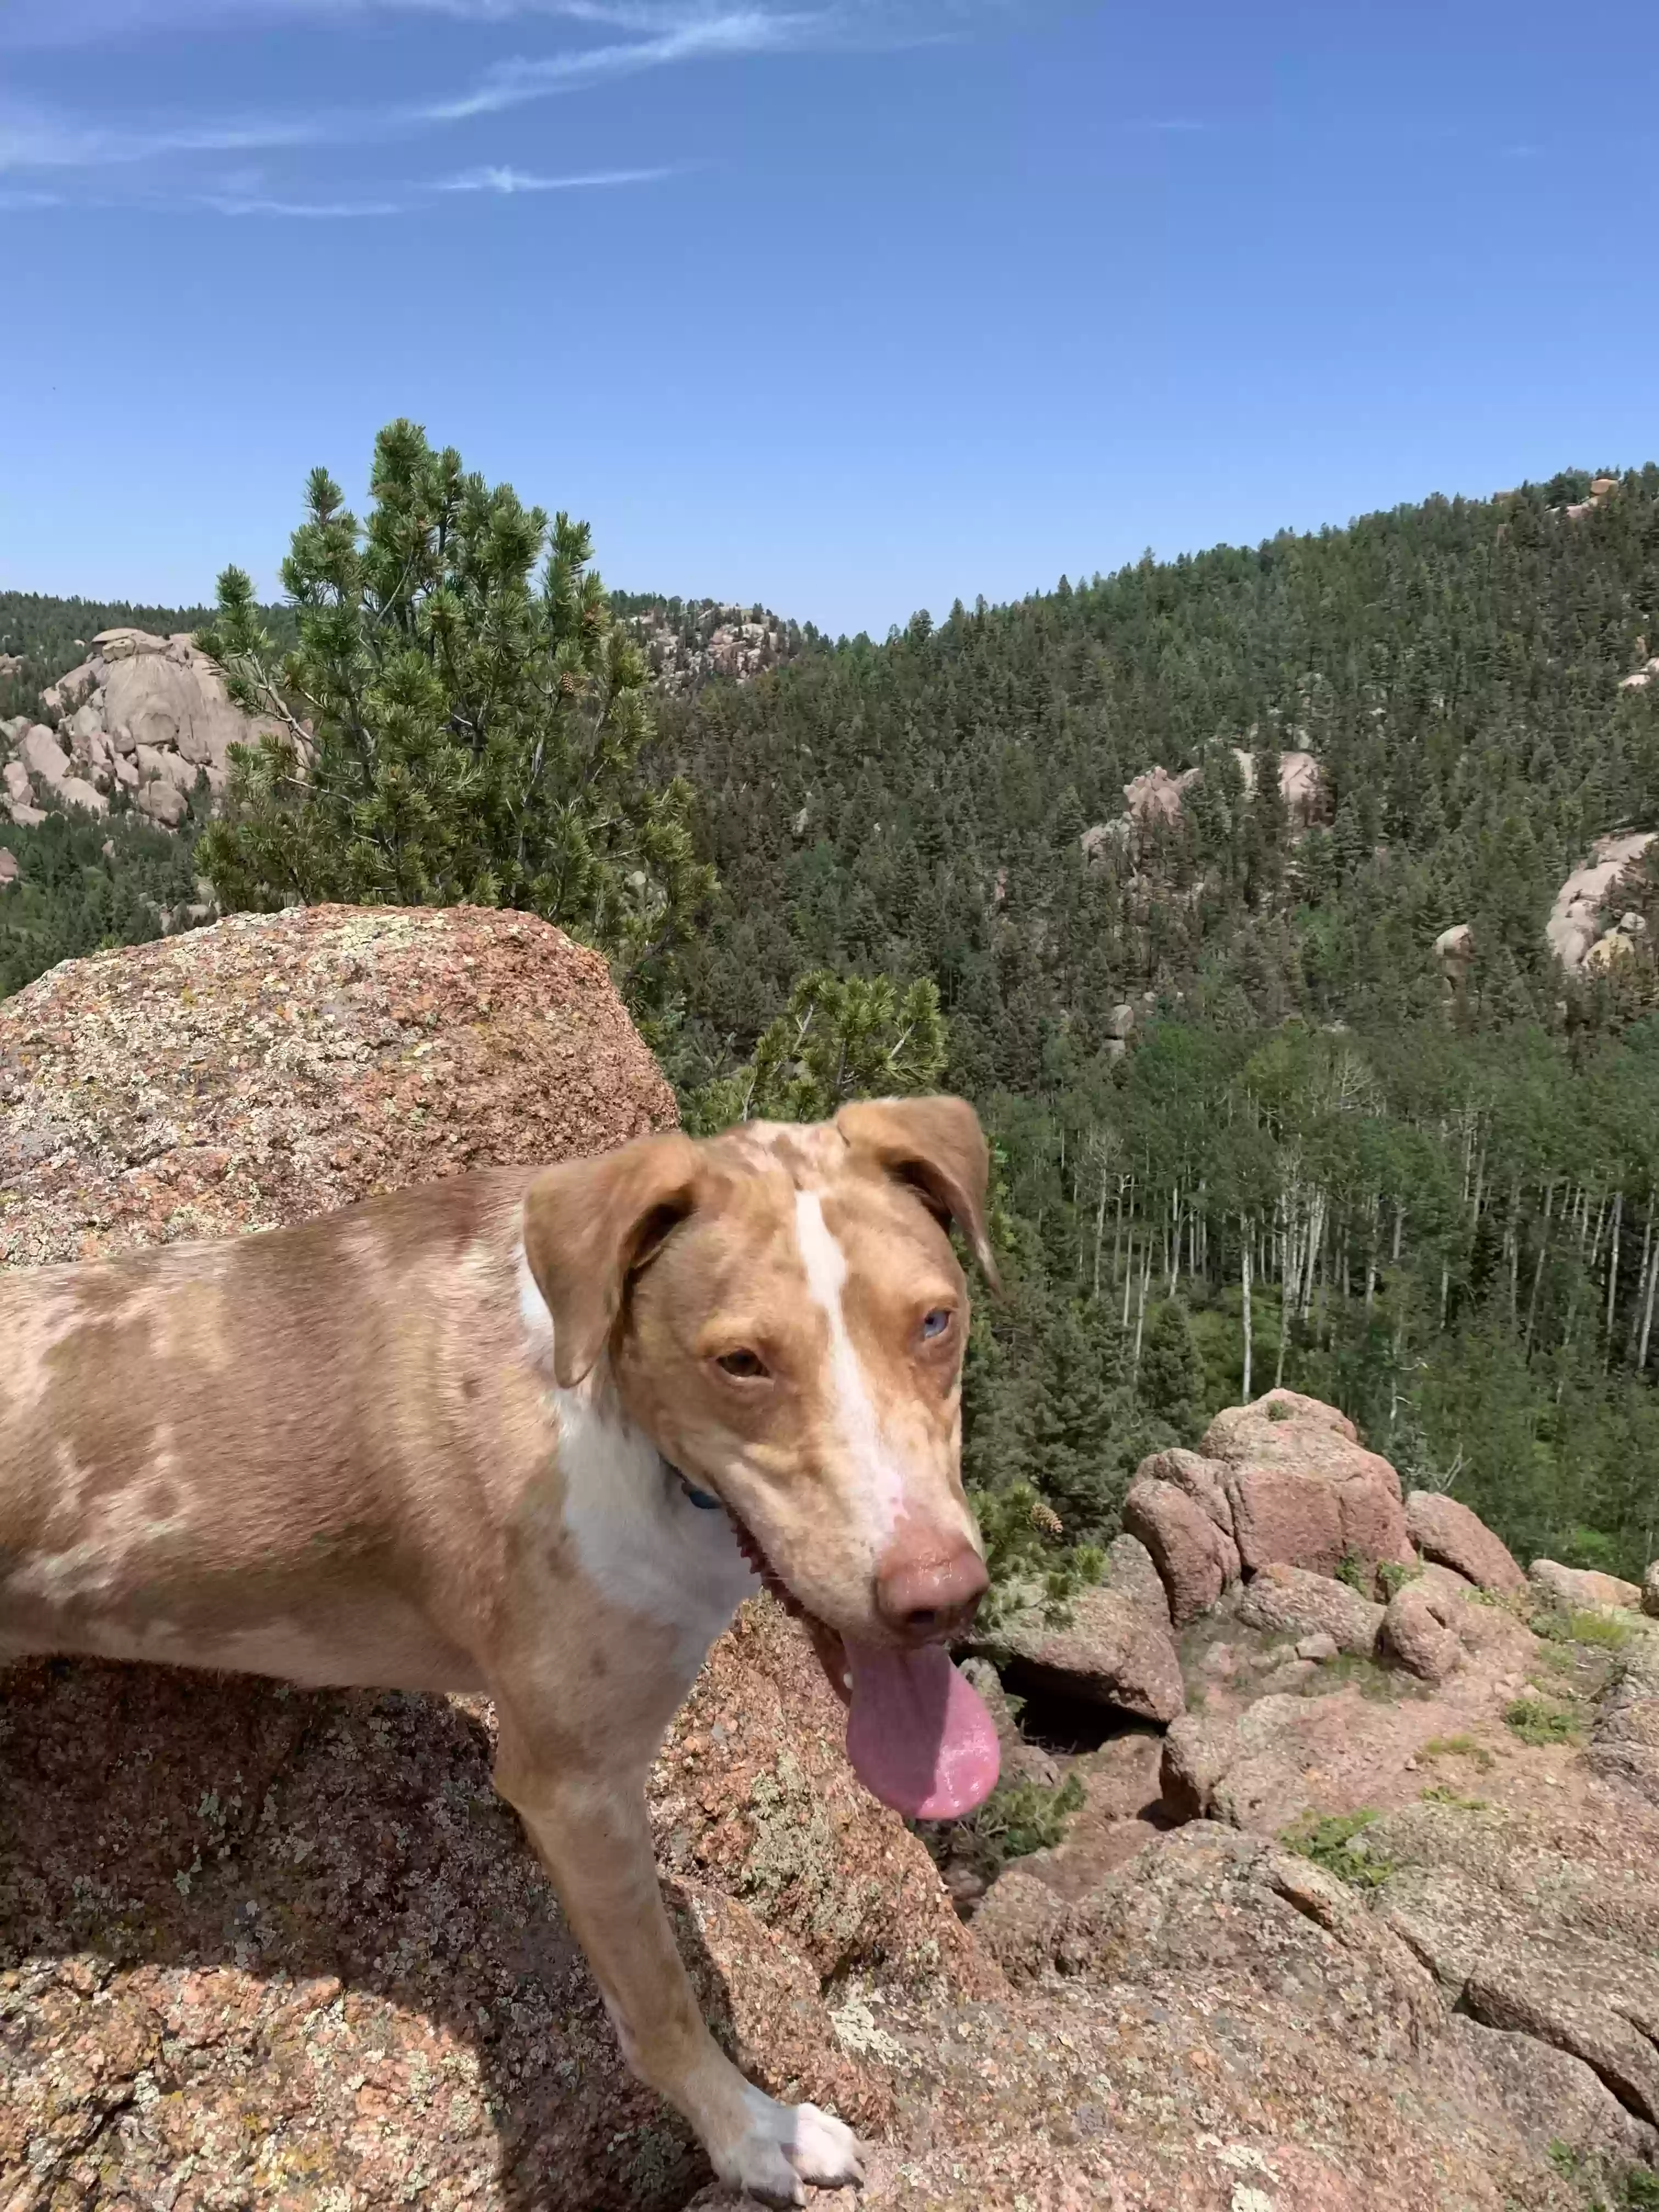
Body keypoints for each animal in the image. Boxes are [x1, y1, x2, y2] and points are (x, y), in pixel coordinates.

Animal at [0, 1097, 1008, 2203]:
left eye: (935, 1321)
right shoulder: (573, 1785)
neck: (604, 1413)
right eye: (741, 1361)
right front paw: (754, 2132)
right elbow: (660, 2003)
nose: (938, 1598)